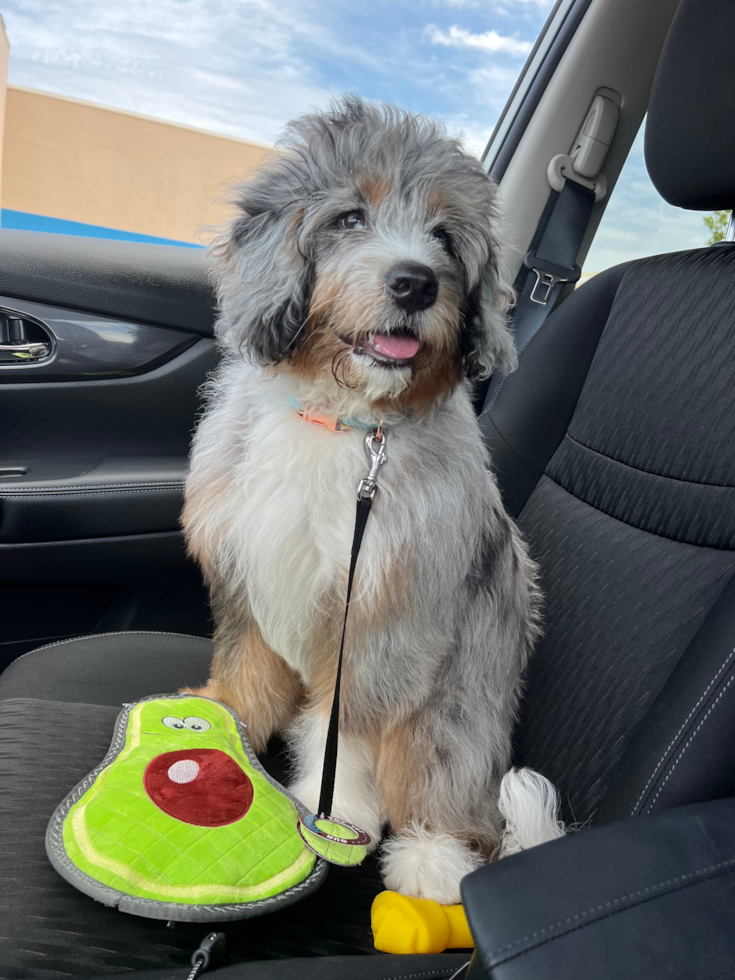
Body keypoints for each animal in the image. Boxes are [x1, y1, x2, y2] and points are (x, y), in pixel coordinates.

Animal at [185, 99, 564, 904]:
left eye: (445, 237)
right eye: (350, 217)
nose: (415, 283)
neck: (347, 425)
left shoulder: (385, 616)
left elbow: (348, 730)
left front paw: (335, 810)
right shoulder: (251, 571)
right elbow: (246, 668)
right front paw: (218, 723)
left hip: (458, 713)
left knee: (445, 790)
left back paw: (434, 857)